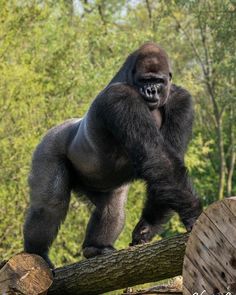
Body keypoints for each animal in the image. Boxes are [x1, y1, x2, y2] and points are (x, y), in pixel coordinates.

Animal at [23, 42, 202, 268]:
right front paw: (194, 214)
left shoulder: (181, 100)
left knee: (111, 207)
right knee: (49, 205)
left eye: (158, 81)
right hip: (49, 145)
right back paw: (36, 254)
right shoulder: (120, 97)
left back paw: (95, 247)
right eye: (146, 80)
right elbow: (158, 159)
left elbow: (167, 163)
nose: (151, 90)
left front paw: (147, 226)